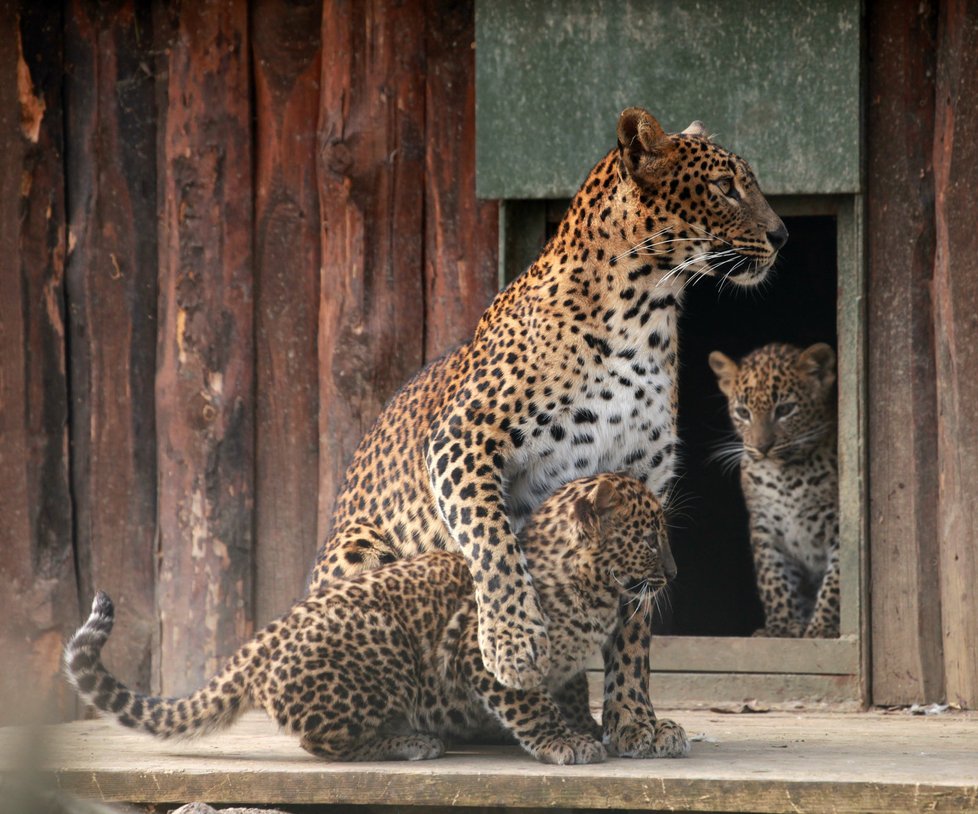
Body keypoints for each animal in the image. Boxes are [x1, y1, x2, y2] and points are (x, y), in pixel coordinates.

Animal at [308, 108, 780, 760]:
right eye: (725, 187)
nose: (783, 235)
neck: (646, 313)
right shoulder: (463, 440)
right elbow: (493, 544)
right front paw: (513, 645)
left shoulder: (640, 483)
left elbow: (634, 622)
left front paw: (633, 722)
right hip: (359, 550)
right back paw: (407, 733)